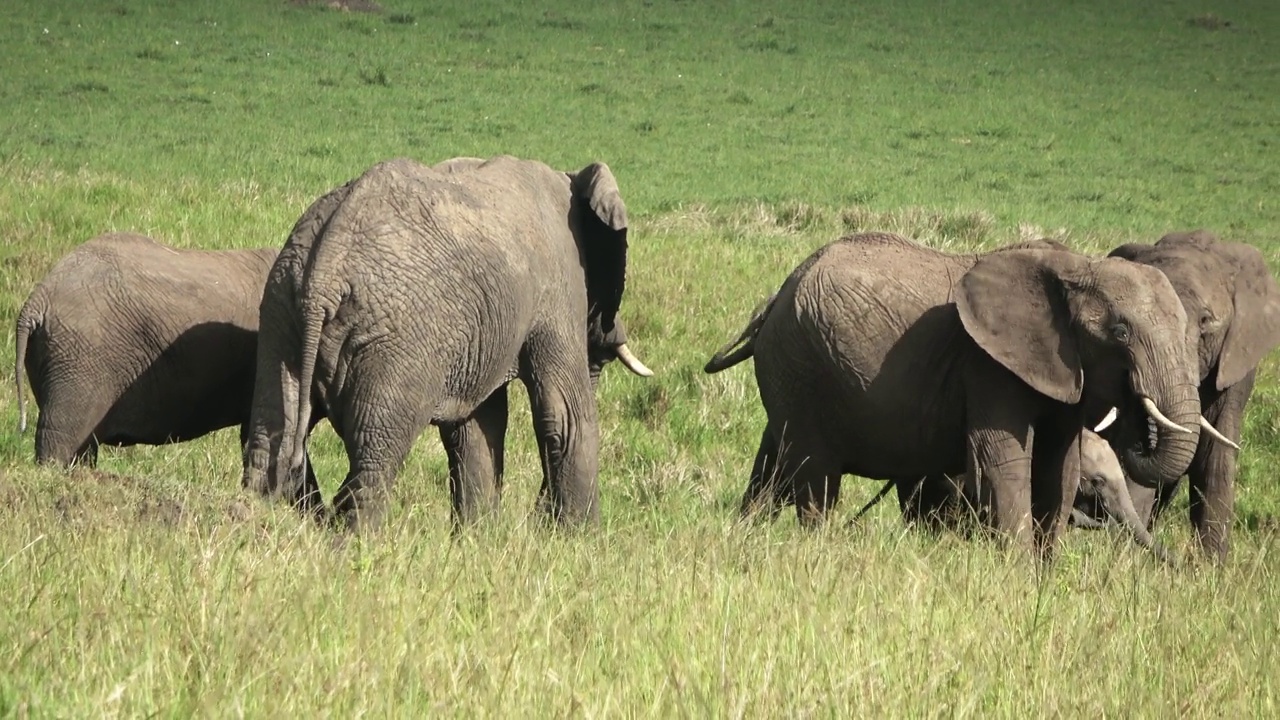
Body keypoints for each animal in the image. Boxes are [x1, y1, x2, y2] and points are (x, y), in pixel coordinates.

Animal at [240, 154, 655, 530]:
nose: (540, 519)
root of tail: (325, 271)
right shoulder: (557, 286)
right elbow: (565, 413)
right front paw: (580, 541)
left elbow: (475, 424)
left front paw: (476, 539)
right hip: (398, 345)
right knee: (374, 454)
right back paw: (354, 548)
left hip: (281, 312)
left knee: (269, 439)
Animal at [706, 233, 1203, 550]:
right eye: (1120, 332)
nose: (1140, 424)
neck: (1079, 266)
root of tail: (775, 297)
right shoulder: (988, 366)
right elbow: (1006, 465)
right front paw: (1016, 580)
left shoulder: (1062, 373)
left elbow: (1057, 472)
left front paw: (1043, 582)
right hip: (801, 363)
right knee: (814, 477)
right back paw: (817, 555)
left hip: (791, 371)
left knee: (772, 466)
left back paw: (745, 540)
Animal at [1085, 233, 1280, 558]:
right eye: (1127, 330)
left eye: (1205, 322)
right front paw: (1123, 558)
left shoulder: (1236, 362)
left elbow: (1216, 454)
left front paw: (1209, 565)